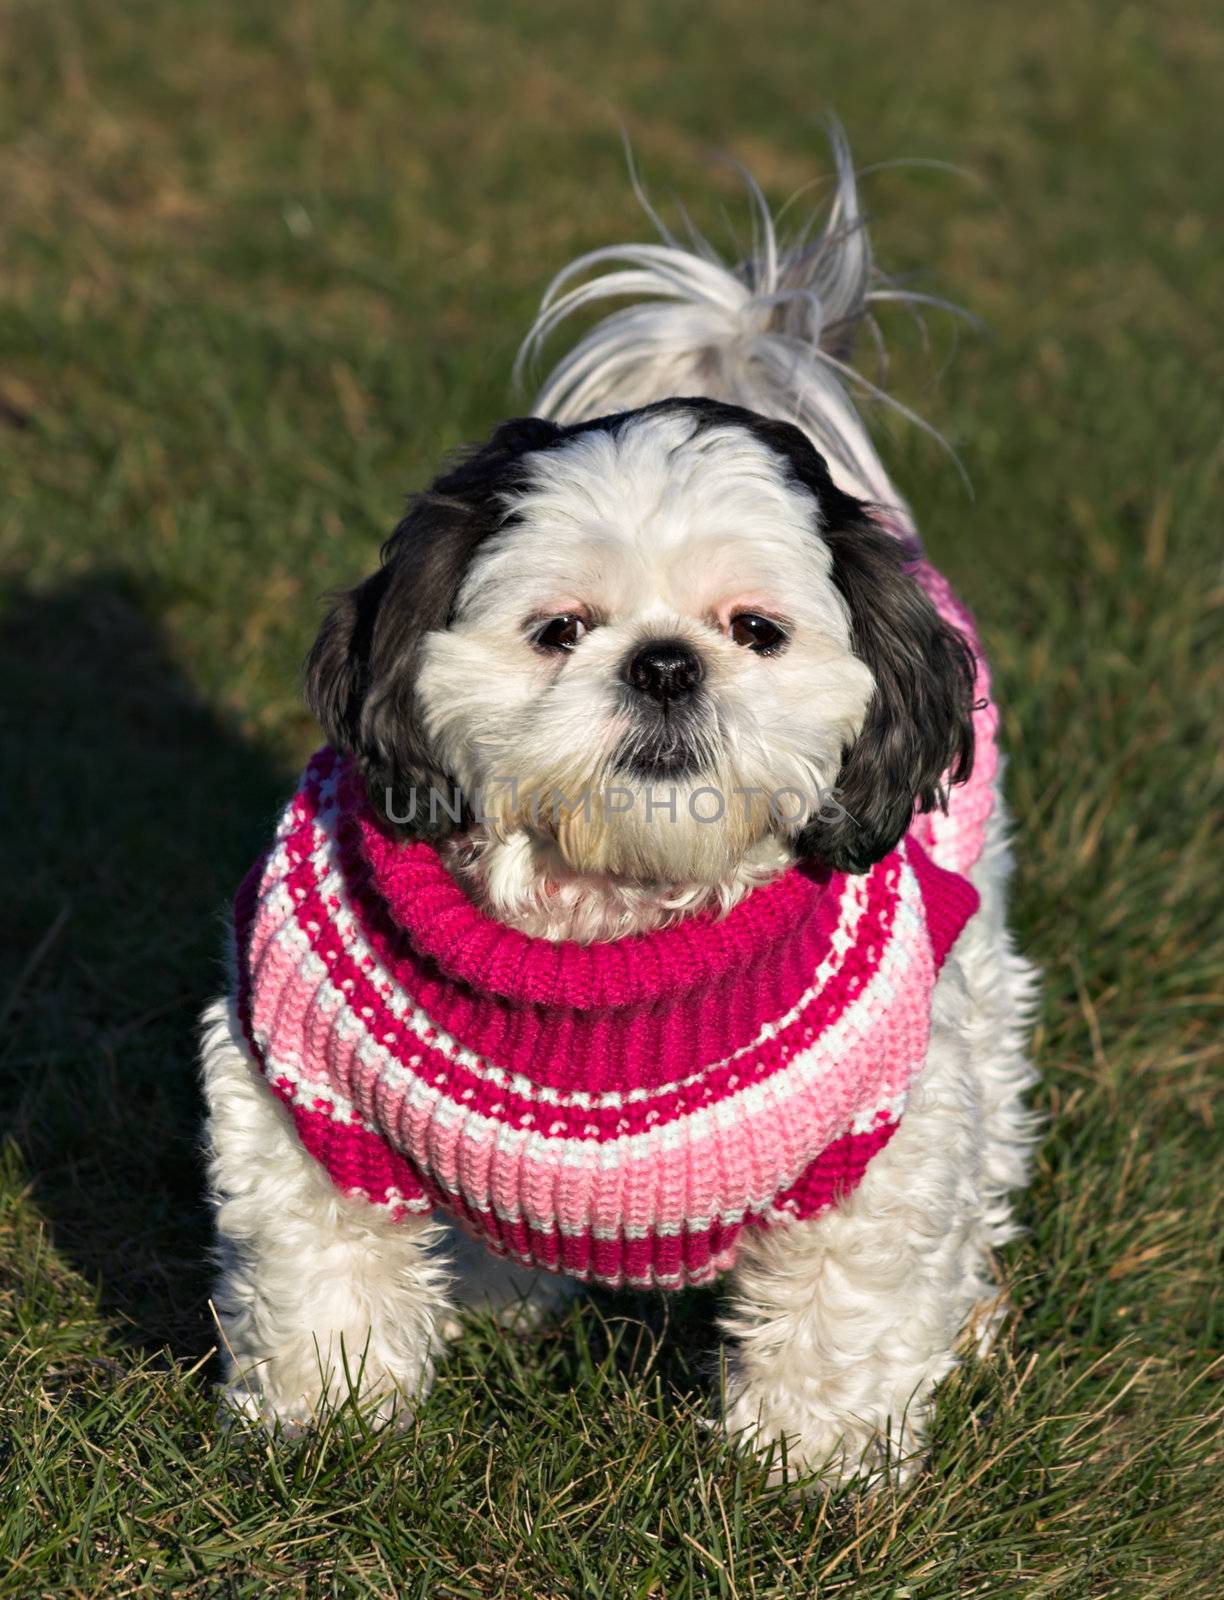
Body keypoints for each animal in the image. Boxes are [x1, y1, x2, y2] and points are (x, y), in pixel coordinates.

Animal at [198, 131, 1030, 1491]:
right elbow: (323, 1273)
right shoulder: (300, 1092)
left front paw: (813, 1468)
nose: (664, 663)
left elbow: (845, 1310)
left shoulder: (882, 1140)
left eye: (756, 630)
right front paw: (328, 1426)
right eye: (560, 629)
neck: (608, 921)